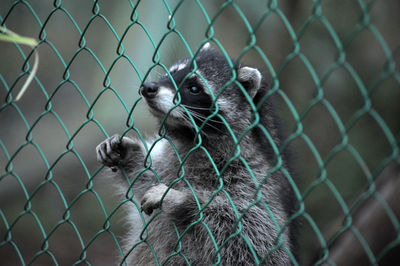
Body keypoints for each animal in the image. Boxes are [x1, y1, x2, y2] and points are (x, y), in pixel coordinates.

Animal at [96, 44, 296, 264]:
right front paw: (129, 155)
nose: (148, 87)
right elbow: (150, 173)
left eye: (194, 88)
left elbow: (256, 238)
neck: (190, 137)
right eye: (171, 73)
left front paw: (183, 201)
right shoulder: (172, 160)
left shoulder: (256, 178)